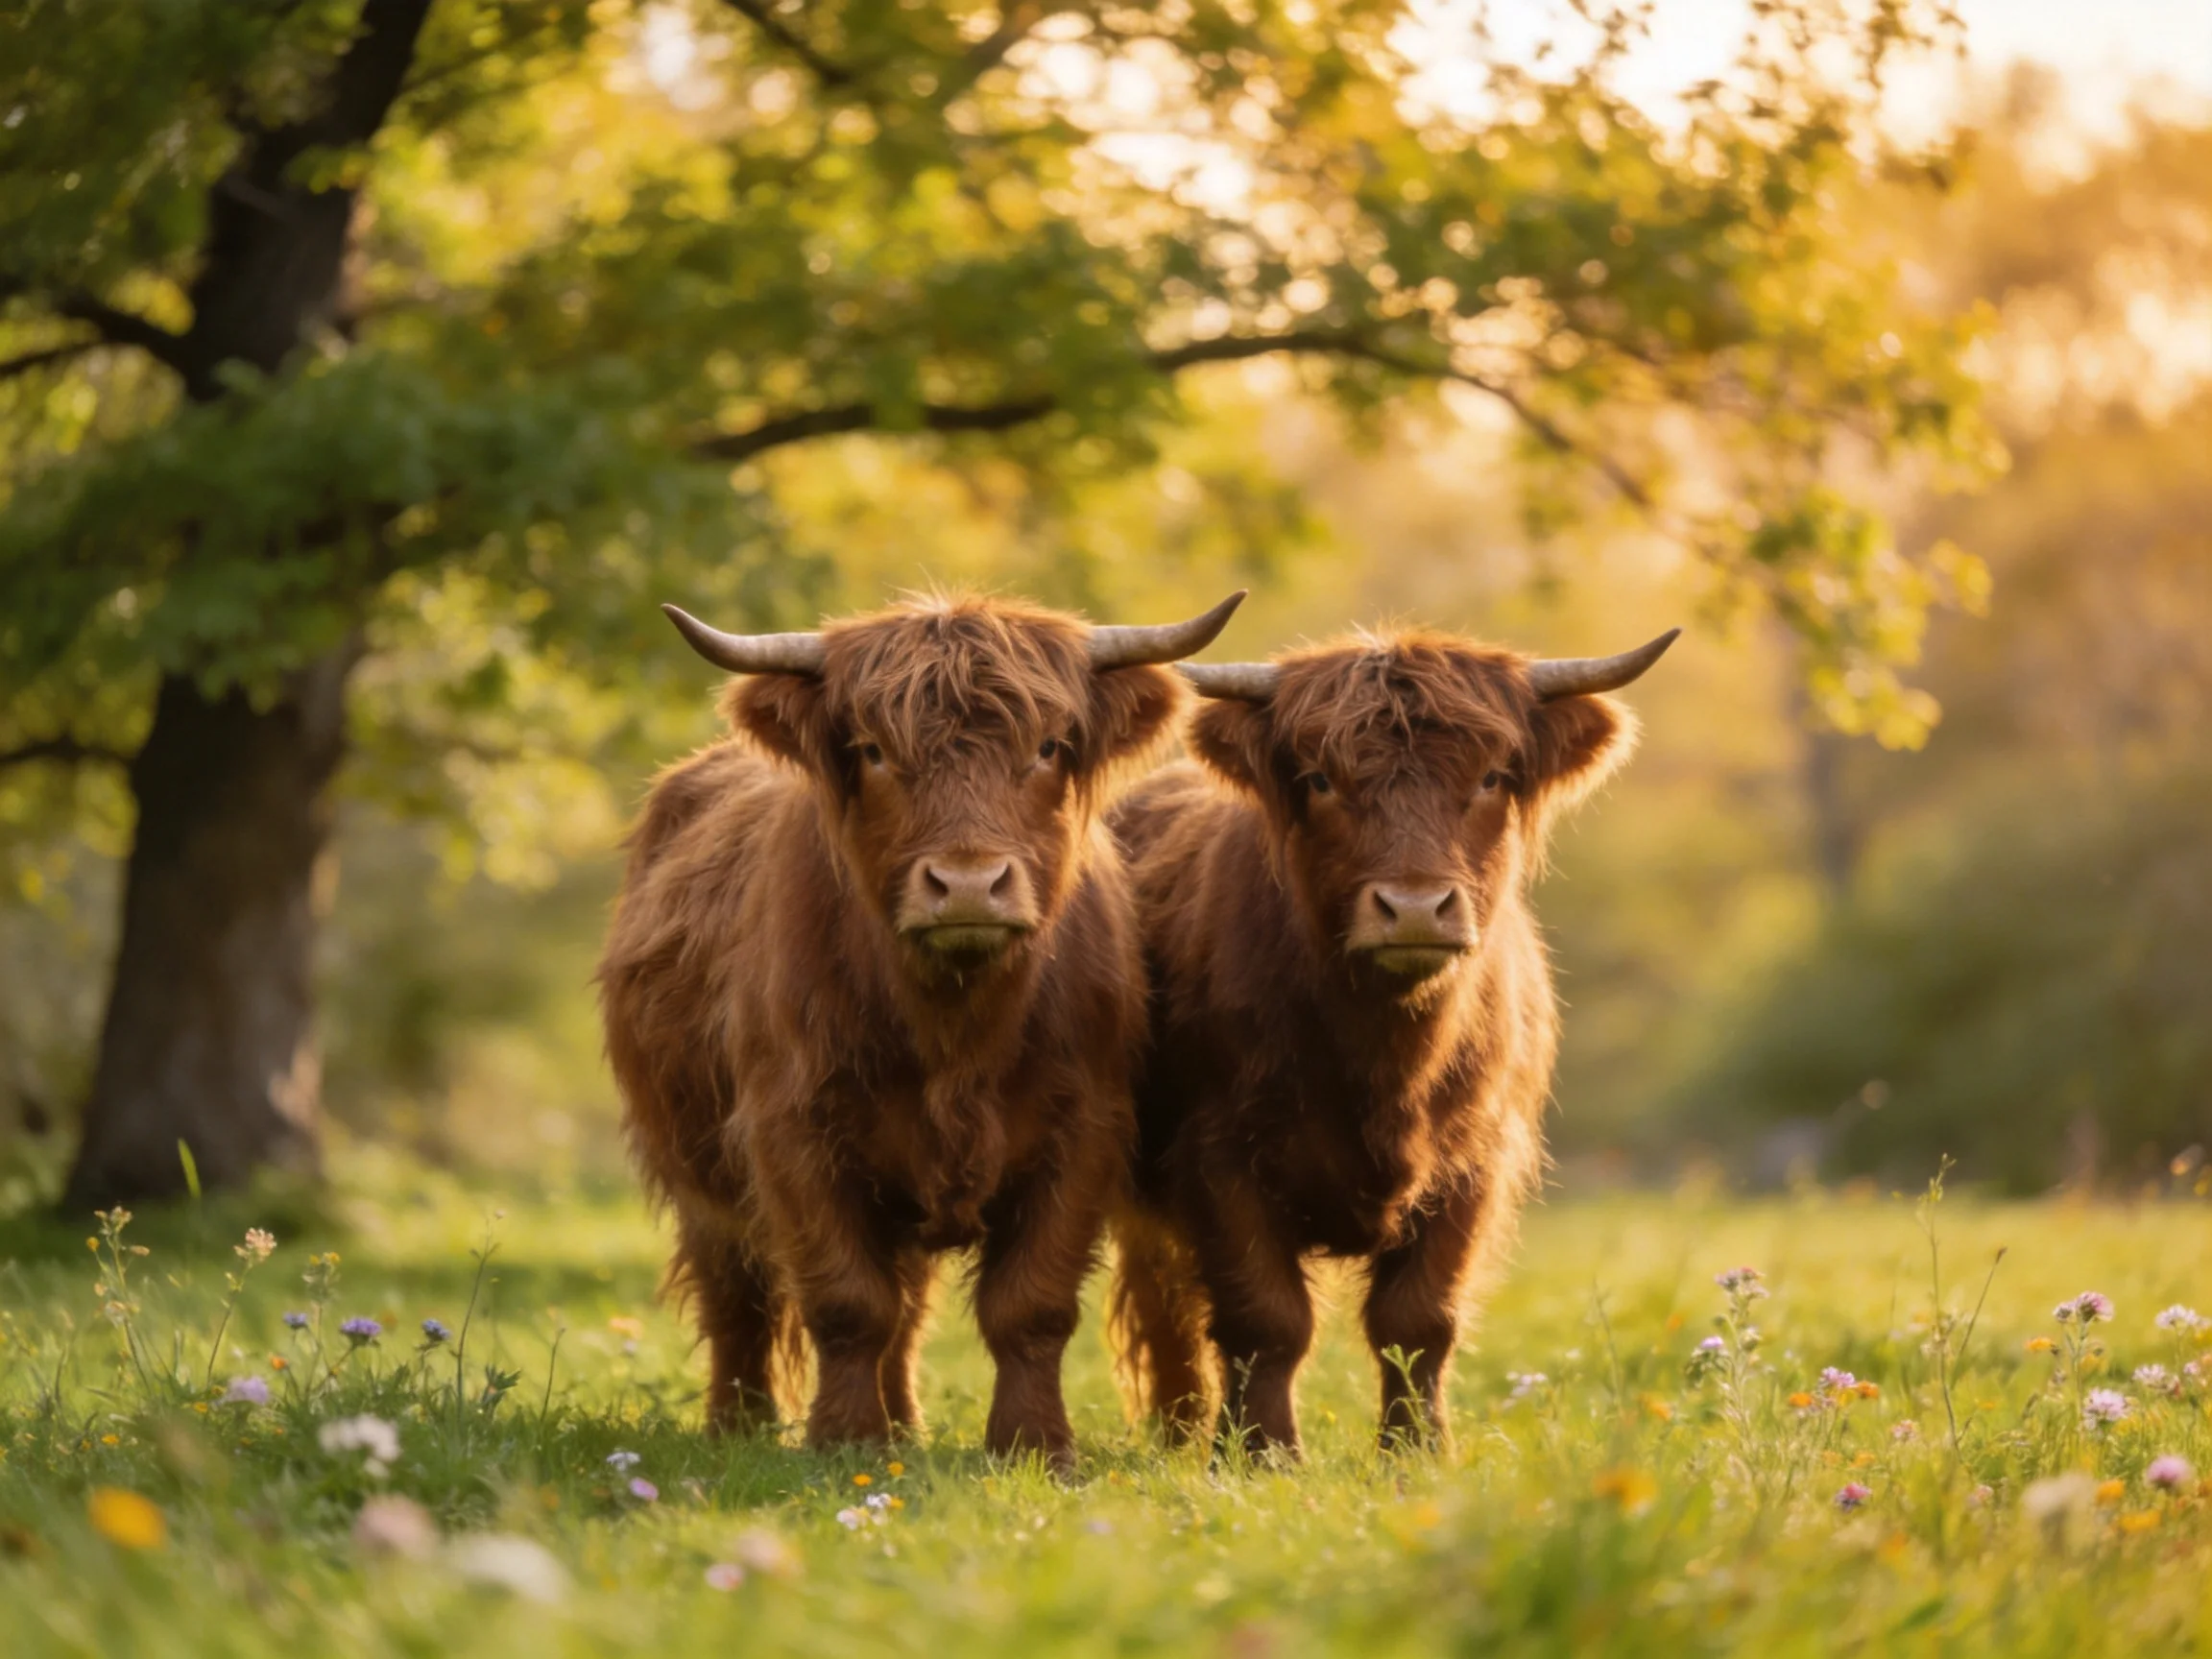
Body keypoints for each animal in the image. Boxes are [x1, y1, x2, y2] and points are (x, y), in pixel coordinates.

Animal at [599, 590, 1244, 1468]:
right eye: (873, 751)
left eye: (1048, 746)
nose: (967, 883)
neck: (955, 1028)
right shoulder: (792, 1133)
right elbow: (847, 1302)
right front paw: (843, 1442)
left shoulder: (1083, 1132)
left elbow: (1029, 1305)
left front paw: (1034, 1447)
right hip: (697, 1169)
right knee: (739, 1297)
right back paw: (740, 1427)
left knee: (904, 1310)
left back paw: (904, 1428)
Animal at [1107, 626, 1677, 1456]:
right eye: (1319, 779)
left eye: (1492, 776)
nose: (1413, 907)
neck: (1387, 1058)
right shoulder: (1216, 1156)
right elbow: (1265, 1318)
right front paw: (1260, 1454)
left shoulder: (1476, 1161)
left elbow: (1418, 1321)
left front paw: (1417, 1452)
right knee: (1165, 1300)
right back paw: (1179, 1433)